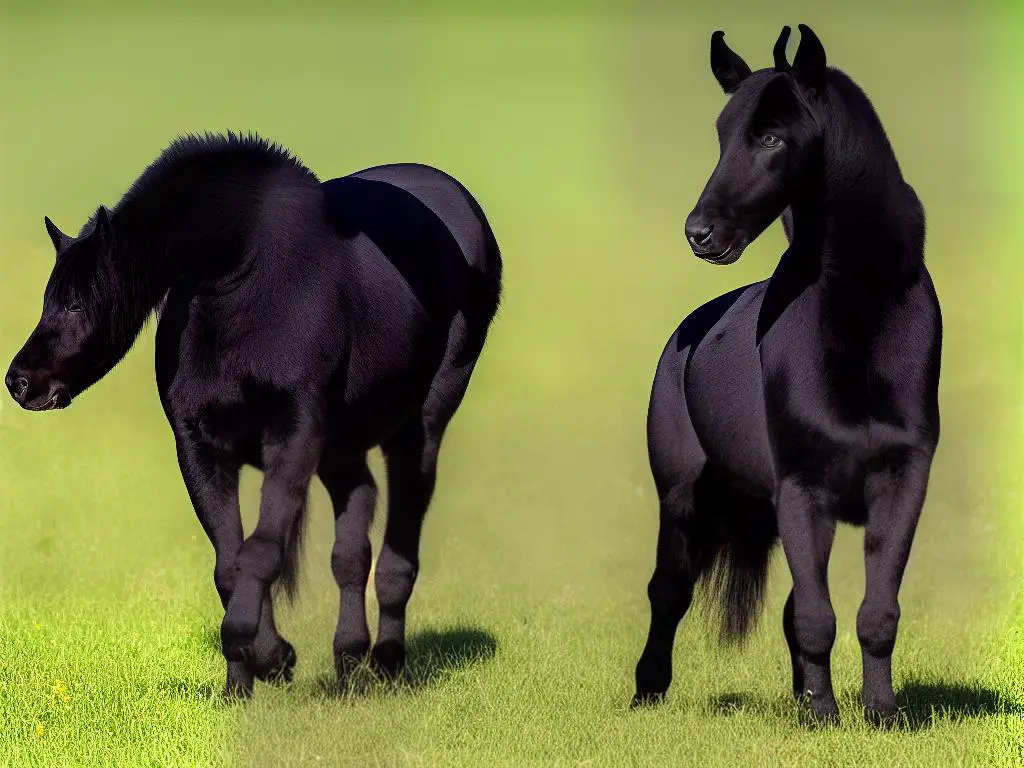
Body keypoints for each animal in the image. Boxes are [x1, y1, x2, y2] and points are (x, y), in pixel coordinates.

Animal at [7, 135, 503, 700]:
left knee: (400, 544)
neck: (244, 289)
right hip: (342, 449)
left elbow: (260, 552)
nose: (19, 381)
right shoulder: (199, 448)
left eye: (74, 304)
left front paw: (269, 657)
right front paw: (244, 679)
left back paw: (387, 665)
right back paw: (349, 662)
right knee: (354, 536)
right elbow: (230, 562)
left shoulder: (292, 440)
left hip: (420, 428)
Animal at [630, 20, 942, 724]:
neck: (858, 316)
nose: (699, 232)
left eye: (773, 137)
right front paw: (823, 717)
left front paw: (880, 715)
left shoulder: (900, 482)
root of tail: (686, 336)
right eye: (723, 133)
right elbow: (817, 618)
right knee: (669, 592)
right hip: (682, 498)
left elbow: (874, 612)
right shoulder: (804, 488)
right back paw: (647, 693)